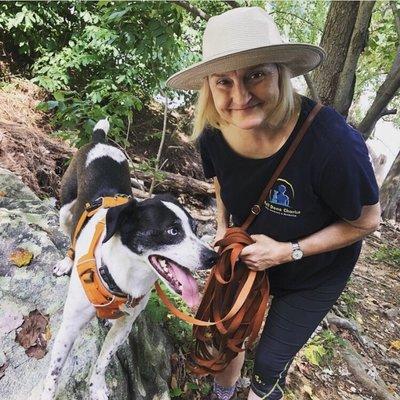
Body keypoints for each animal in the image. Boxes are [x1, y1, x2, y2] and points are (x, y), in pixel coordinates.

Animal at [41, 119, 219, 400]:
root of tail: (100, 139)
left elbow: (104, 359)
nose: (213, 257)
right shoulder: (70, 325)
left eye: (195, 229)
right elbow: (55, 370)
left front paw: (97, 387)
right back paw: (67, 261)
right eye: (172, 231)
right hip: (66, 209)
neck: (122, 276)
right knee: (70, 235)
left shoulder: (125, 325)